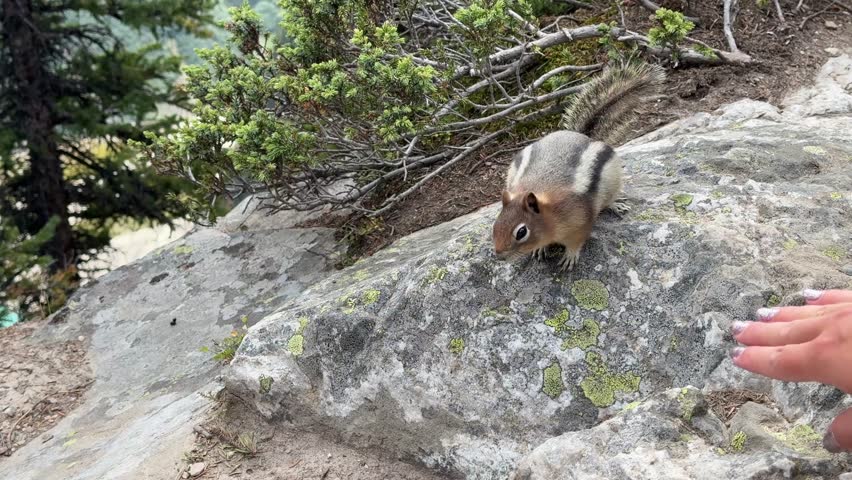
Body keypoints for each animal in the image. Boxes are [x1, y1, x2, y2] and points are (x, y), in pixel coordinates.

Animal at [492, 61, 665, 270]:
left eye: (521, 232)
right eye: (495, 225)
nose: (499, 256)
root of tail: (581, 135)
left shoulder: (580, 223)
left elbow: (577, 241)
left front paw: (570, 257)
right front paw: (540, 249)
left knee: (610, 199)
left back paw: (616, 204)